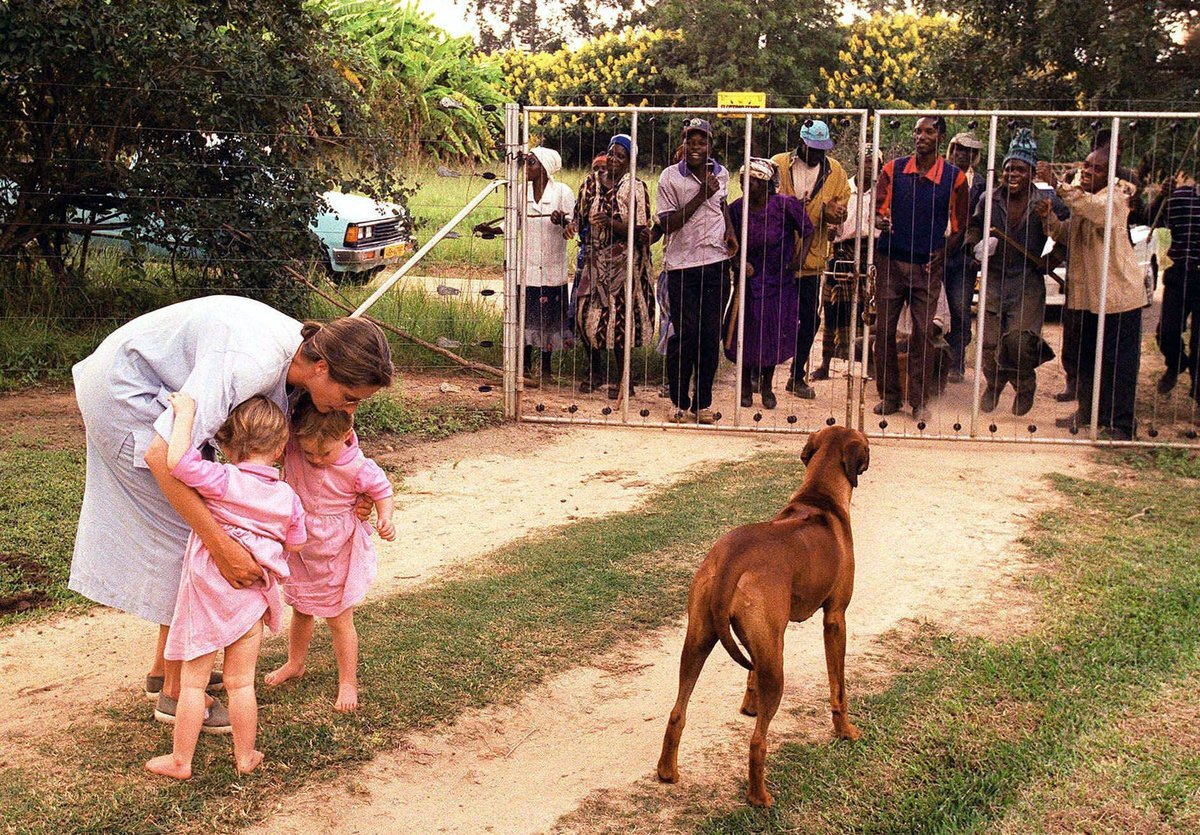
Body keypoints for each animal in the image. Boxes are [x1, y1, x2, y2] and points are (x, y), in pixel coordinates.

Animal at [662, 427, 868, 806]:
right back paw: (759, 797)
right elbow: (839, 687)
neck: (819, 498)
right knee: (758, 741)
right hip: (776, 664)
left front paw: (750, 705)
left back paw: (667, 771)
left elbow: (750, 675)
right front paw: (845, 731)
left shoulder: (760, 637)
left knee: (677, 711)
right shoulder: (835, 618)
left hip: (699, 639)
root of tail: (733, 557)